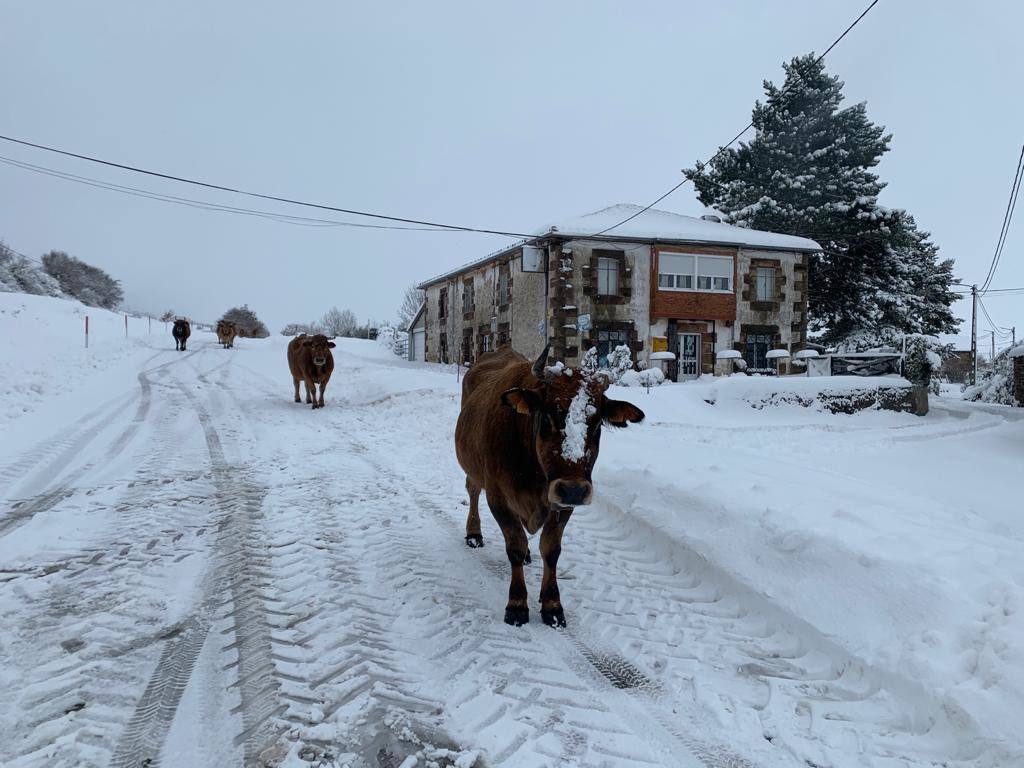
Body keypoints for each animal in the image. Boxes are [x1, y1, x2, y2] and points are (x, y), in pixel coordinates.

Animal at [454, 346, 643, 626]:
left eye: (597, 423)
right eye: (547, 417)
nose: (574, 490)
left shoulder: (561, 504)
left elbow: (551, 550)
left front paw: (552, 605)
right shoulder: (498, 498)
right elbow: (515, 545)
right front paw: (517, 604)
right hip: (475, 471)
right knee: (473, 490)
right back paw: (474, 534)